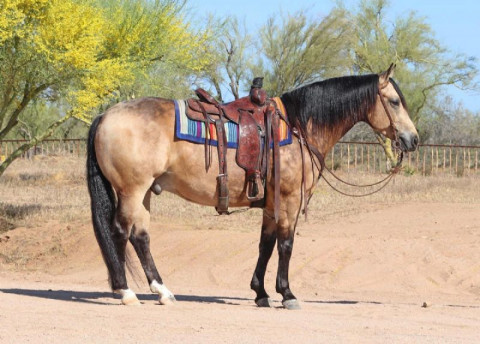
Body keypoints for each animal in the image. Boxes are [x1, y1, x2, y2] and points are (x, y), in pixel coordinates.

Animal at [88, 63, 418, 310]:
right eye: (394, 101)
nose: (413, 139)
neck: (298, 125)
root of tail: (106, 115)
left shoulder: (271, 203)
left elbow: (266, 245)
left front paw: (261, 293)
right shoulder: (289, 199)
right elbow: (286, 244)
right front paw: (287, 294)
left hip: (144, 192)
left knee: (140, 237)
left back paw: (163, 292)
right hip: (131, 190)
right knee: (120, 232)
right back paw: (125, 292)